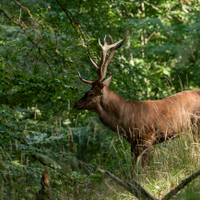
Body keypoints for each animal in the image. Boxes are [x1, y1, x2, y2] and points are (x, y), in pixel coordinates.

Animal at [73, 34, 200, 167]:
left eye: (90, 93)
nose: (76, 104)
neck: (127, 118)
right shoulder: (133, 142)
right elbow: (132, 168)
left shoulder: (148, 137)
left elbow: (144, 167)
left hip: (195, 124)